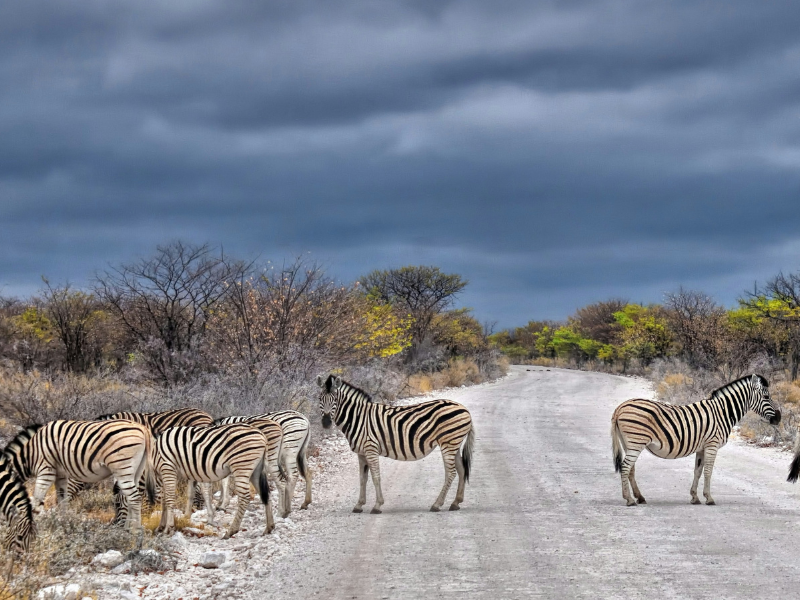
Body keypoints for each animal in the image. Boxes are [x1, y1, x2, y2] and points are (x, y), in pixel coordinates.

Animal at [3, 420, 154, 530]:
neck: (31, 453)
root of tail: (143, 429)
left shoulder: (46, 471)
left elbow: (36, 502)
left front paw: (34, 528)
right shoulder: (61, 475)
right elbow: (62, 501)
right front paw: (62, 525)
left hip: (122, 469)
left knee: (134, 498)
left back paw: (135, 530)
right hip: (136, 470)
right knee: (130, 498)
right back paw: (127, 528)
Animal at [317, 374, 475, 513]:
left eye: (335, 400)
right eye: (319, 399)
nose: (325, 423)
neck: (357, 418)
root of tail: (464, 408)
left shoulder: (371, 448)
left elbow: (376, 477)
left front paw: (377, 505)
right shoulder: (361, 453)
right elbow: (362, 479)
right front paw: (359, 505)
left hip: (448, 443)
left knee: (451, 473)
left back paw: (437, 504)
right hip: (454, 443)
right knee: (461, 470)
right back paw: (455, 502)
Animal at [611, 373, 780, 506]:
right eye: (766, 397)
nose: (778, 418)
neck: (723, 412)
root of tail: (620, 407)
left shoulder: (702, 447)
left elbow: (697, 471)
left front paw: (695, 497)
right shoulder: (712, 445)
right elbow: (708, 471)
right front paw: (709, 498)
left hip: (629, 443)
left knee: (630, 469)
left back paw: (639, 497)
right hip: (636, 442)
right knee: (625, 467)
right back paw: (629, 500)